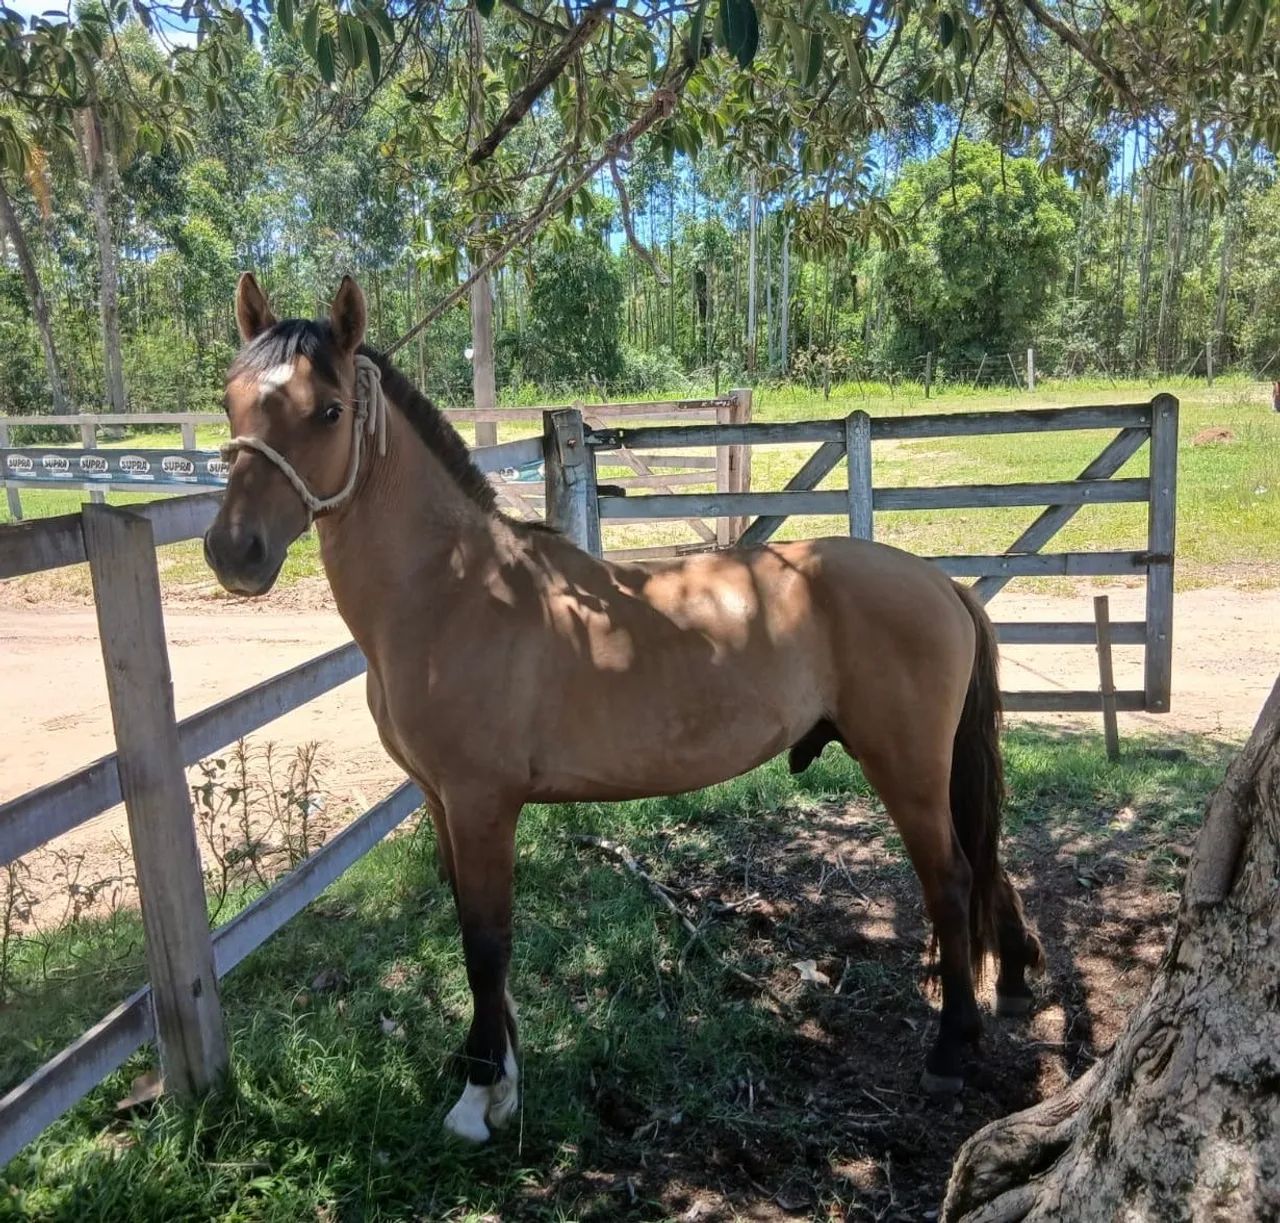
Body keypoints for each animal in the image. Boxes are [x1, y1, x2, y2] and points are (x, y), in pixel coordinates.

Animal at [203, 273, 1044, 1143]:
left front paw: (479, 1095)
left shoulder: (480, 804)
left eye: (329, 410)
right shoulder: (442, 802)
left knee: (949, 878)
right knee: (981, 863)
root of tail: (938, 580)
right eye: (230, 400)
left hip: (905, 767)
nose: (235, 552)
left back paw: (951, 1047)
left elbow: (486, 941)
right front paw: (497, 1074)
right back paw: (1011, 980)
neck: (455, 591)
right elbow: (475, 933)